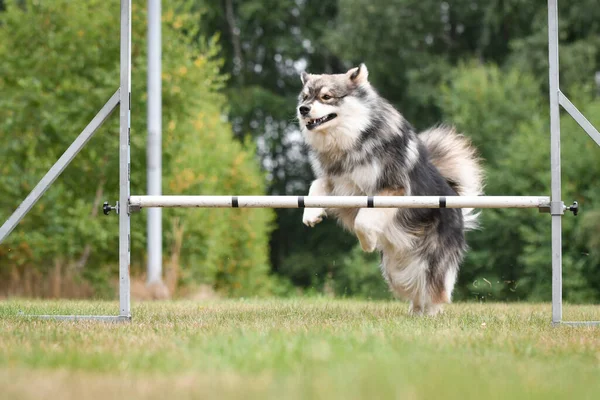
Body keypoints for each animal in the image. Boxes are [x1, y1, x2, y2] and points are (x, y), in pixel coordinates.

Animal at [298, 64, 486, 314]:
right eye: (305, 97)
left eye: (326, 97)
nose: (302, 109)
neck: (351, 139)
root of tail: (454, 197)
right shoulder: (337, 181)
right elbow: (316, 184)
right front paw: (311, 213)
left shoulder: (391, 189)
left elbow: (363, 220)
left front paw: (368, 242)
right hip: (395, 268)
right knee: (414, 289)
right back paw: (415, 313)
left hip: (431, 262)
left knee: (434, 290)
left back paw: (431, 313)